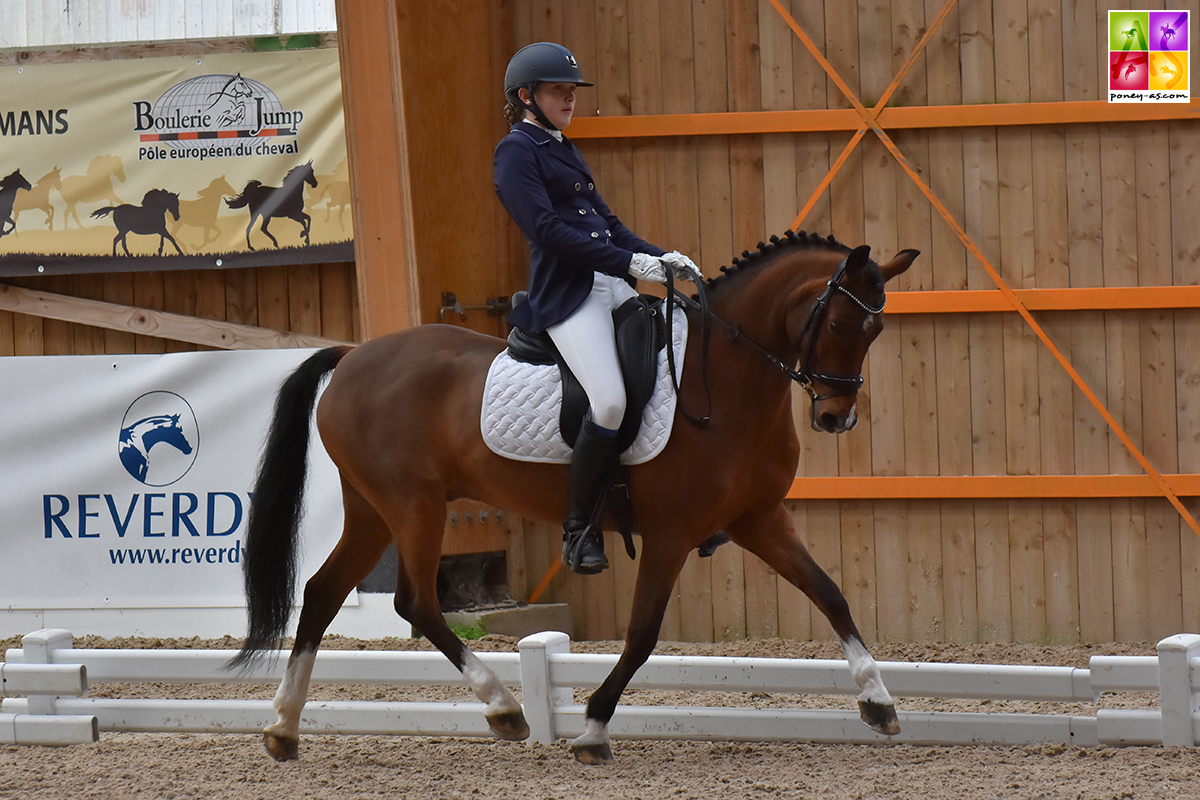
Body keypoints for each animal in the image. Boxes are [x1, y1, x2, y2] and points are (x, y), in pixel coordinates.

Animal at [231, 231, 916, 762]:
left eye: (876, 327)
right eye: (836, 322)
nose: (835, 418)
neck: (723, 382)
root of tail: (352, 358)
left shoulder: (760, 518)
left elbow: (830, 594)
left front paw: (878, 700)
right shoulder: (670, 533)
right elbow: (641, 635)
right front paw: (591, 728)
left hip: (373, 512)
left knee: (323, 592)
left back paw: (283, 728)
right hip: (413, 507)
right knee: (416, 603)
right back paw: (503, 708)